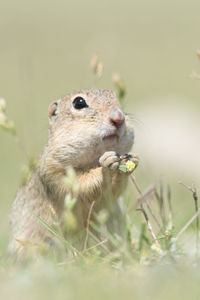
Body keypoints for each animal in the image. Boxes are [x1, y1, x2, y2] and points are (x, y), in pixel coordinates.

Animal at [9, 89, 138, 260]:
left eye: (115, 97)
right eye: (79, 102)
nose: (118, 118)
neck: (91, 161)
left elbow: (111, 193)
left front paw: (131, 162)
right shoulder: (55, 173)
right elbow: (81, 186)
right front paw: (107, 165)